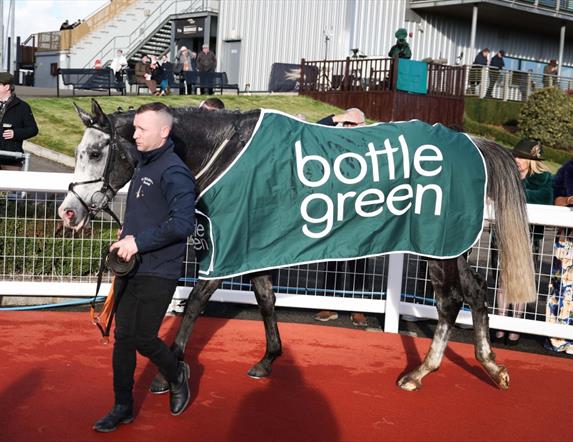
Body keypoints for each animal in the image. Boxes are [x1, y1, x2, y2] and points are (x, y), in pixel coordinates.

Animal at [59, 99, 536, 390]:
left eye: (96, 153)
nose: (68, 211)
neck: (228, 151)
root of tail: (472, 142)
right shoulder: (254, 245)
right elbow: (266, 299)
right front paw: (269, 359)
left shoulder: (228, 247)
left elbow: (195, 302)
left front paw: (168, 373)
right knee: (471, 293)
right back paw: (478, 365)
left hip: (437, 246)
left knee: (453, 299)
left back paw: (428, 371)